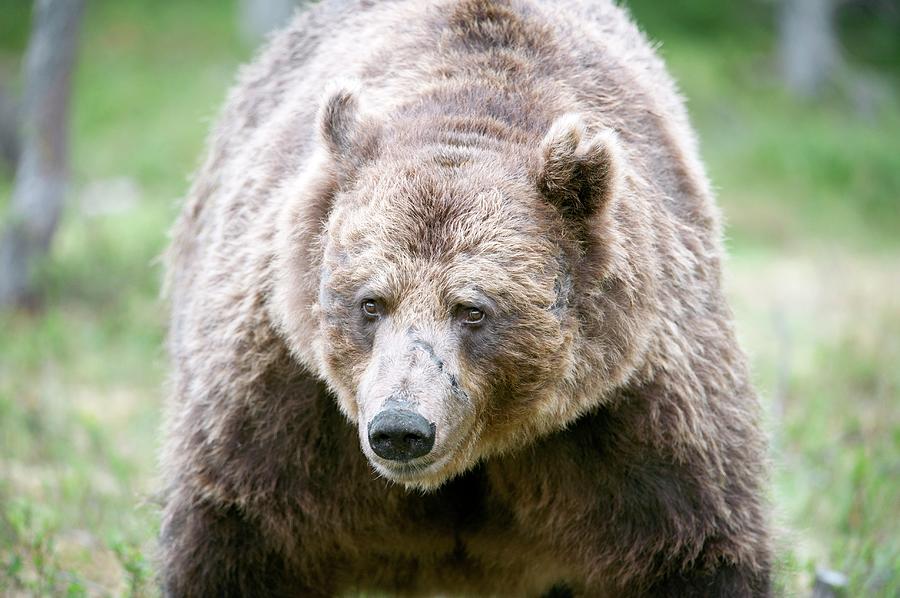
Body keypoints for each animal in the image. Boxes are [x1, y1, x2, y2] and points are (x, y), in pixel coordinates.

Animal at [160, 1, 772, 596]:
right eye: (370, 303)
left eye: (472, 310)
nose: (400, 429)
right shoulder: (282, 400)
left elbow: (693, 547)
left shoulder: (638, 408)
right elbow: (241, 536)